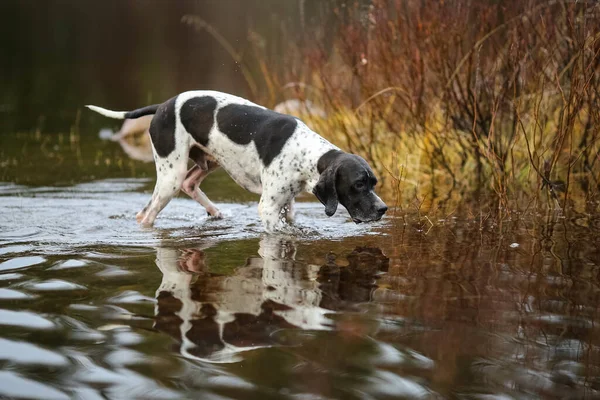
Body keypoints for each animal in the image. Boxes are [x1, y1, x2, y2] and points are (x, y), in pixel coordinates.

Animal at [85, 90, 390, 231]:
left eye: (374, 182)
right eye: (358, 184)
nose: (383, 209)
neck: (305, 152)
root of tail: (161, 106)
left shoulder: (287, 204)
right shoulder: (268, 209)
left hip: (208, 162)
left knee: (189, 185)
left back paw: (215, 213)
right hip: (170, 175)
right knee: (147, 215)